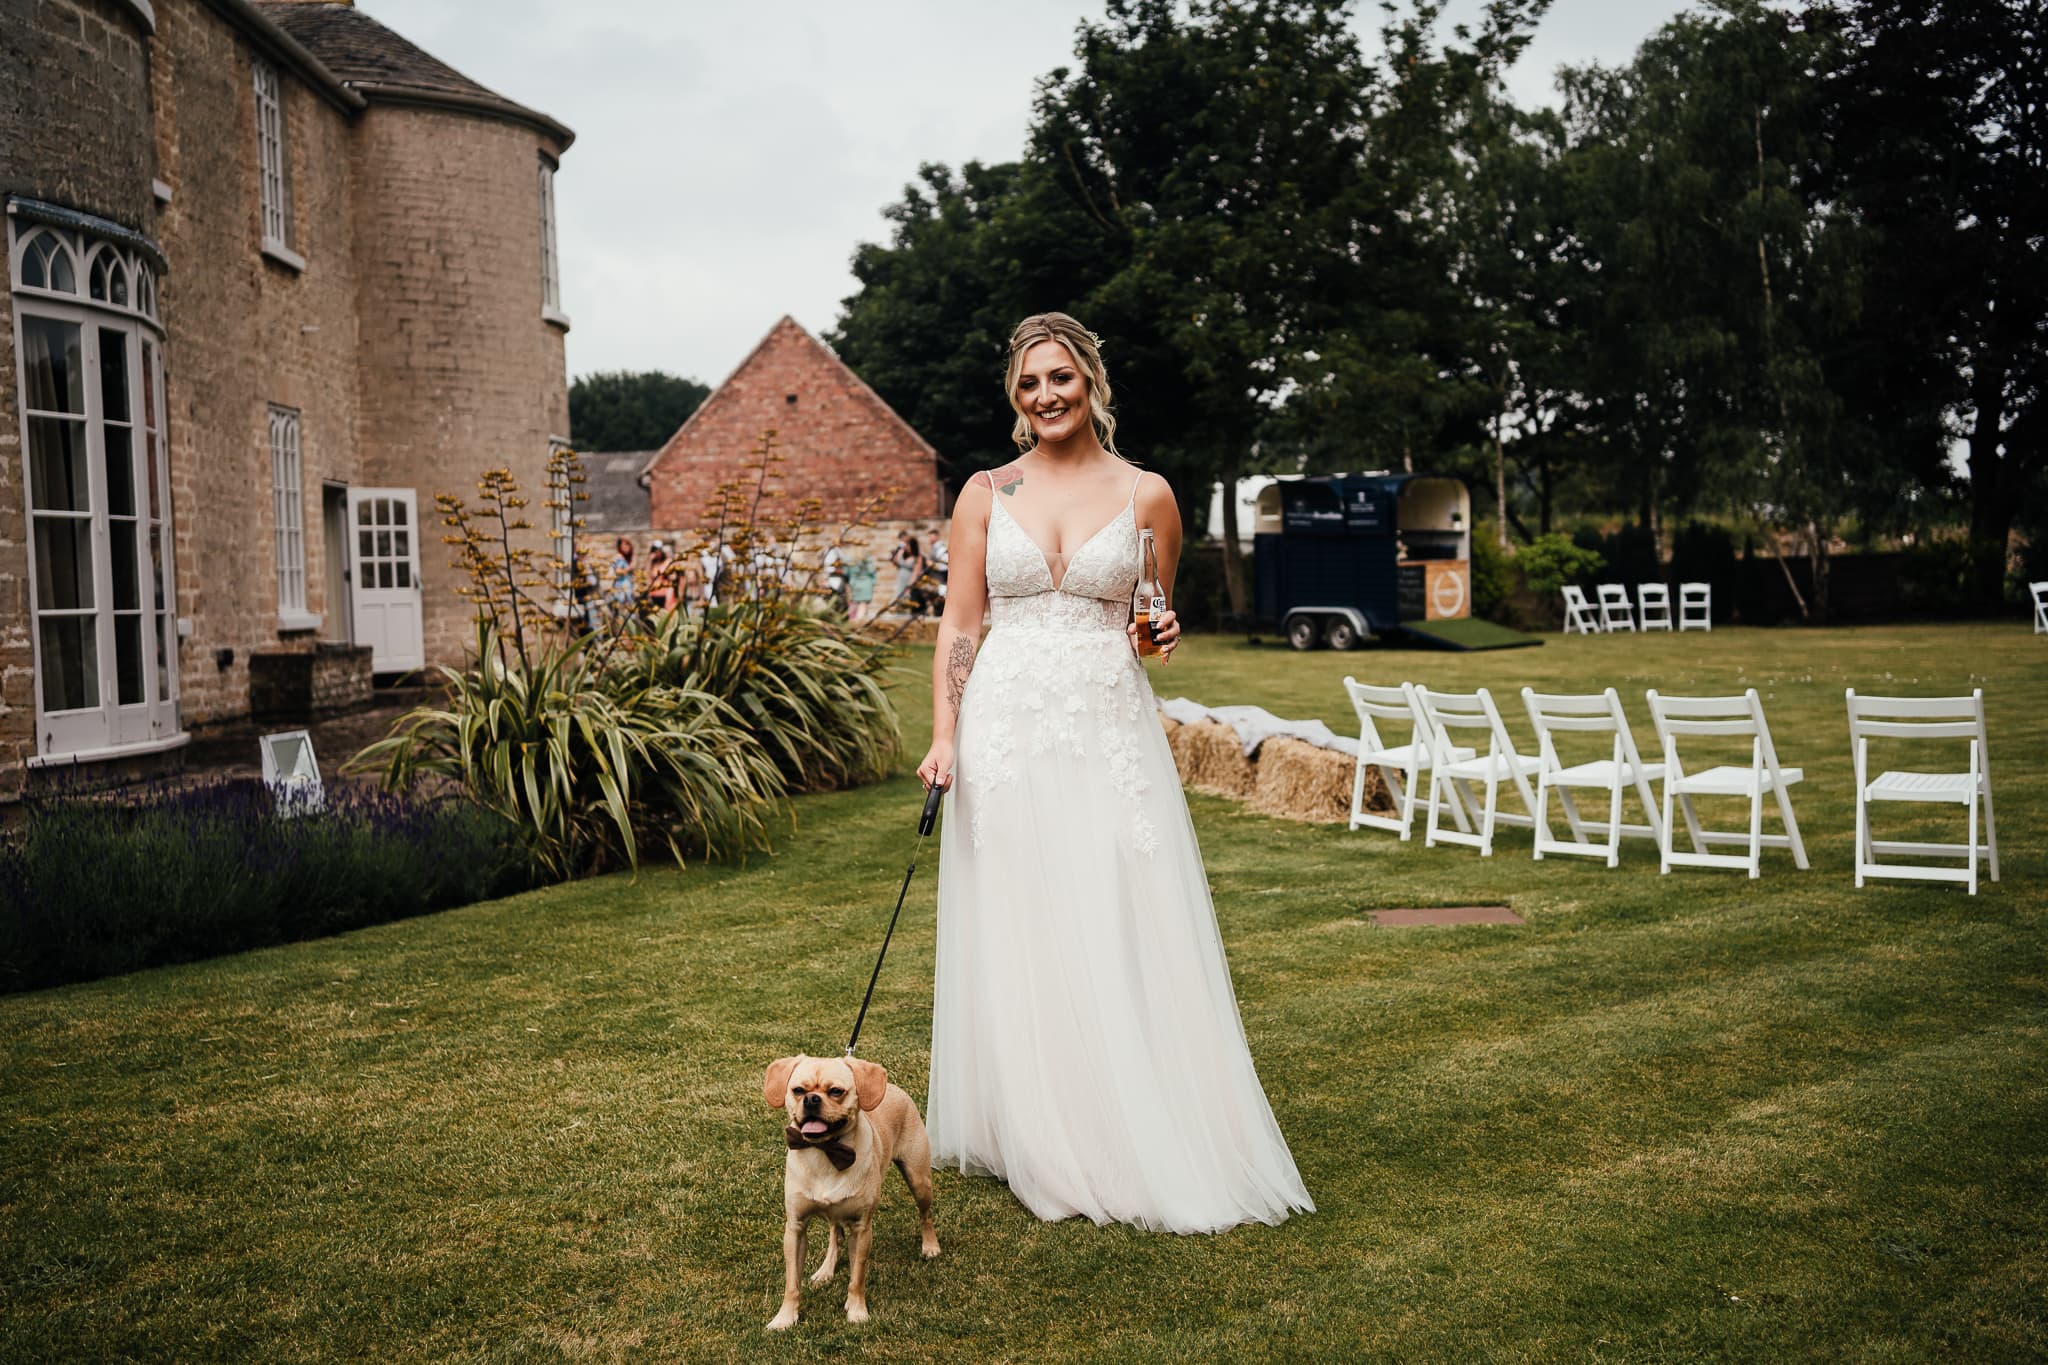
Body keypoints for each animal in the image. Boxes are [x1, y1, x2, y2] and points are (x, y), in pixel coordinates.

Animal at [761, 1055, 937, 1326]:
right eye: (798, 1090)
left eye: (836, 1091)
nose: (811, 1099)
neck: (825, 1152)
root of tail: (893, 1087)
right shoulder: (796, 1227)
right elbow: (792, 1282)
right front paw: (785, 1318)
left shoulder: (861, 1228)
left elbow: (857, 1276)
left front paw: (857, 1311)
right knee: (835, 1235)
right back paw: (825, 1270)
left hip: (919, 1180)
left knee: (925, 1215)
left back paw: (930, 1246)